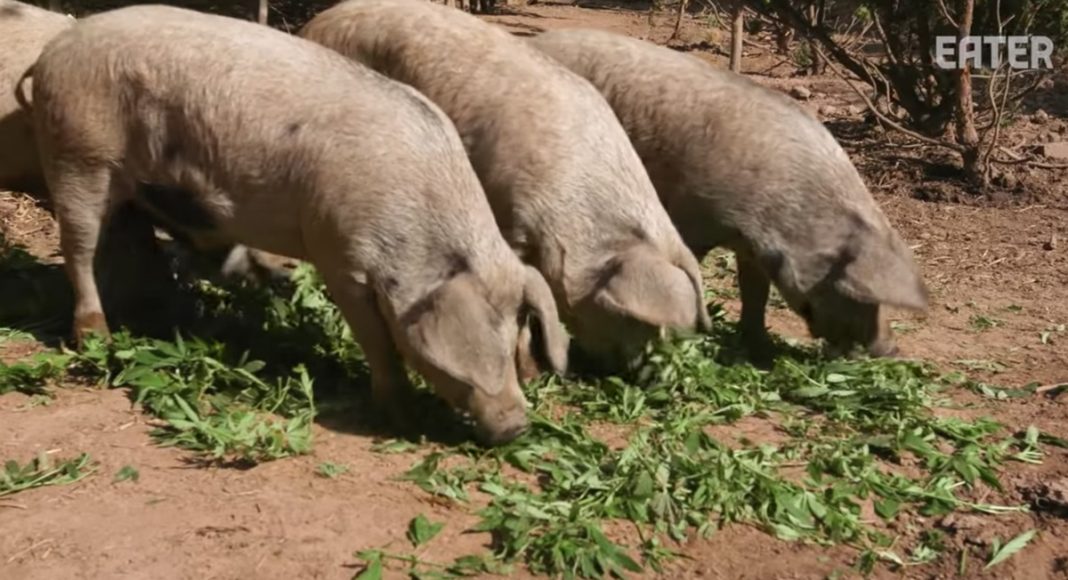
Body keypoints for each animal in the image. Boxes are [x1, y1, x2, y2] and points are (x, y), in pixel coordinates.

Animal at [20, 4, 568, 445]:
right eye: (483, 353)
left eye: (516, 339)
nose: (516, 427)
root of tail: (52, 52)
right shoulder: (341, 256)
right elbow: (376, 340)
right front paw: (401, 418)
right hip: (79, 153)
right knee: (79, 246)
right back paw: (97, 337)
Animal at [528, 28, 929, 360]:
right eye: (855, 294)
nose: (891, 351)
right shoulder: (692, 215)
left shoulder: (751, 249)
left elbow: (756, 293)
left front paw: (760, 347)